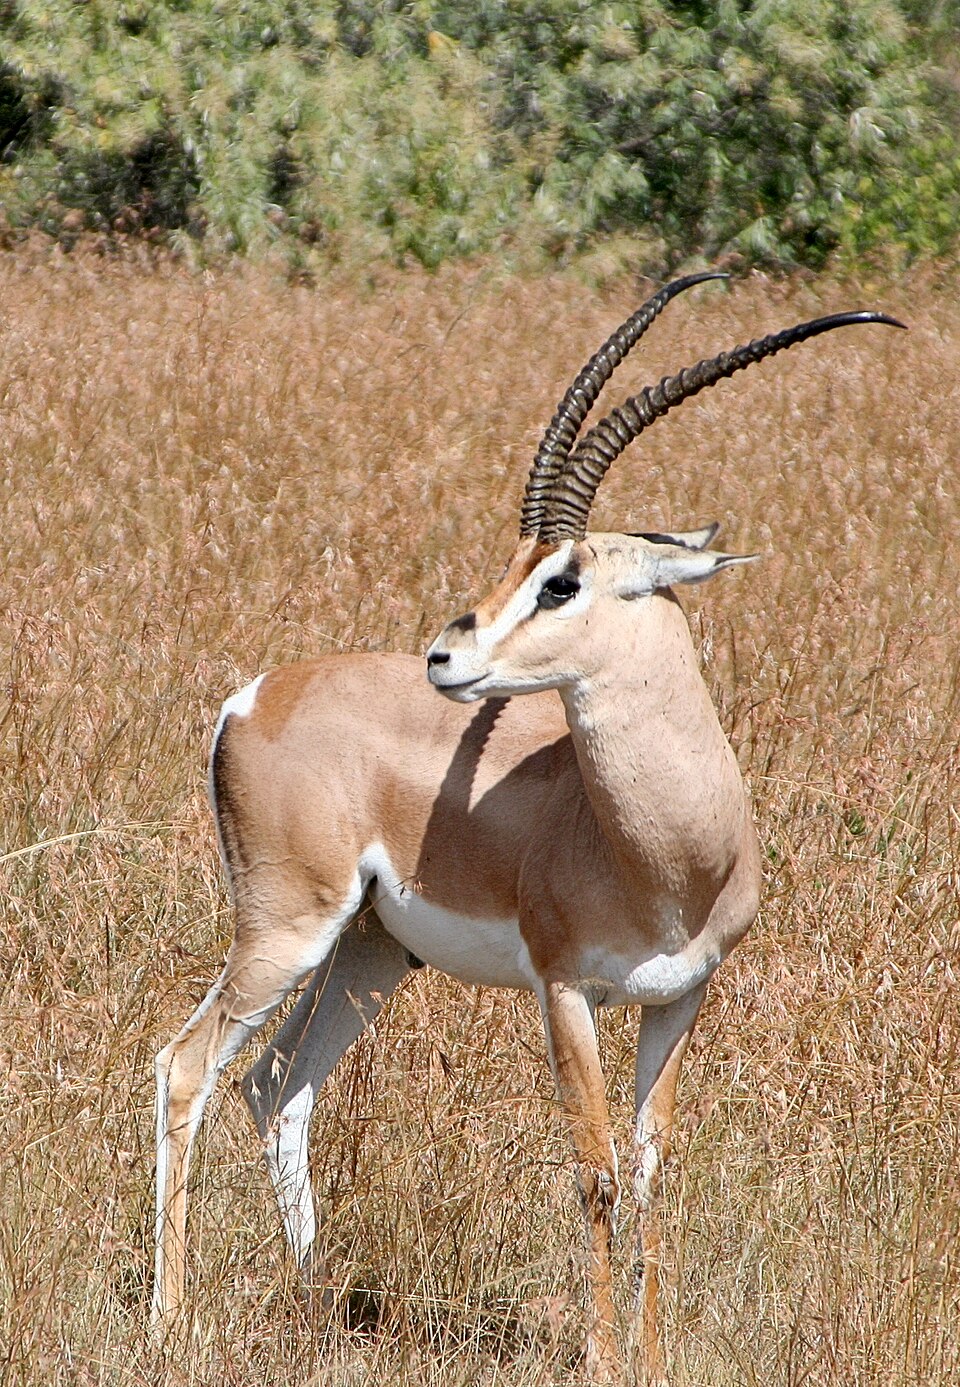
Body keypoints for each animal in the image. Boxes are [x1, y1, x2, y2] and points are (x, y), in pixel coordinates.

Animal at [153, 274, 902, 1381]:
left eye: (562, 579)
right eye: (521, 562)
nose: (444, 657)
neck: (668, 857)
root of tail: (251, 696)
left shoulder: (683, 997)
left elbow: (653, 1170)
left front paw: (654, 1354)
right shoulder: (565, 991)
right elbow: (595, 1171)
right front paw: (601, 1356)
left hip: (369, 951)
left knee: (279, 1084)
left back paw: (316, 1307)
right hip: (286, 927)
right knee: (187, 1066)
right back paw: (168, 1320)